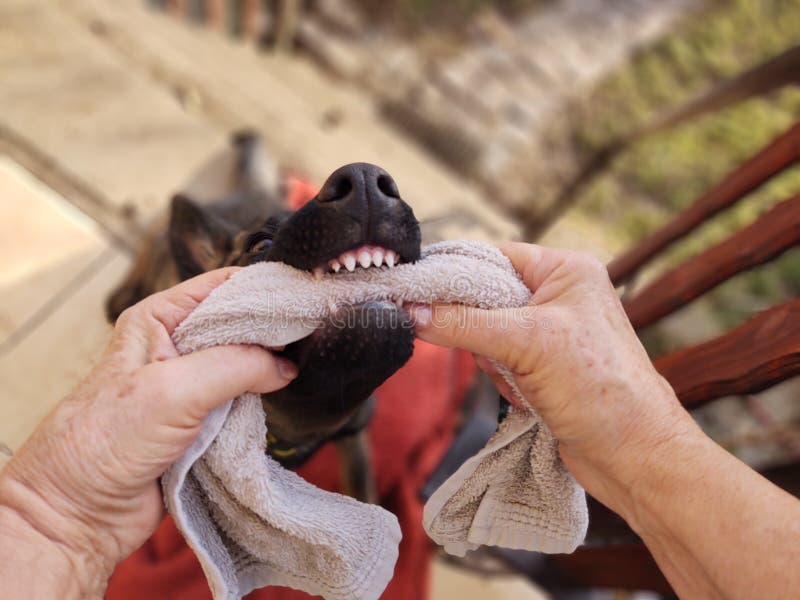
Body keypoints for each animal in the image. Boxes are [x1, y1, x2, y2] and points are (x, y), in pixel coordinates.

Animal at [107, 132, 424, 502]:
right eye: (260, 245)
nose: (364, 179)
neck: (295, 424)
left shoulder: (354, 439)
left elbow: (363, 491)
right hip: (158, 244)